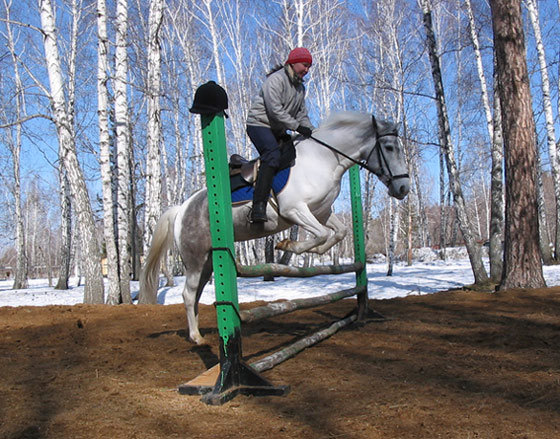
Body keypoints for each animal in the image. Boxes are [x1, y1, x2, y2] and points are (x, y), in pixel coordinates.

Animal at [139, 110, 412, 344]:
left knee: (194, 294)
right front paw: (288, 245)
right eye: (389, 147)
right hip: (195, 260)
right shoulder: (295, 211)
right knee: (188, 294)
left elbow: (338, 232)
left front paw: (311, 251)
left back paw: (199, 333)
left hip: (207, 262)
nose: (403, 188)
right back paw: (196, 338)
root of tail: (182, 208)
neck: (324, 160)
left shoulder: (321, 213)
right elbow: (321, 234)